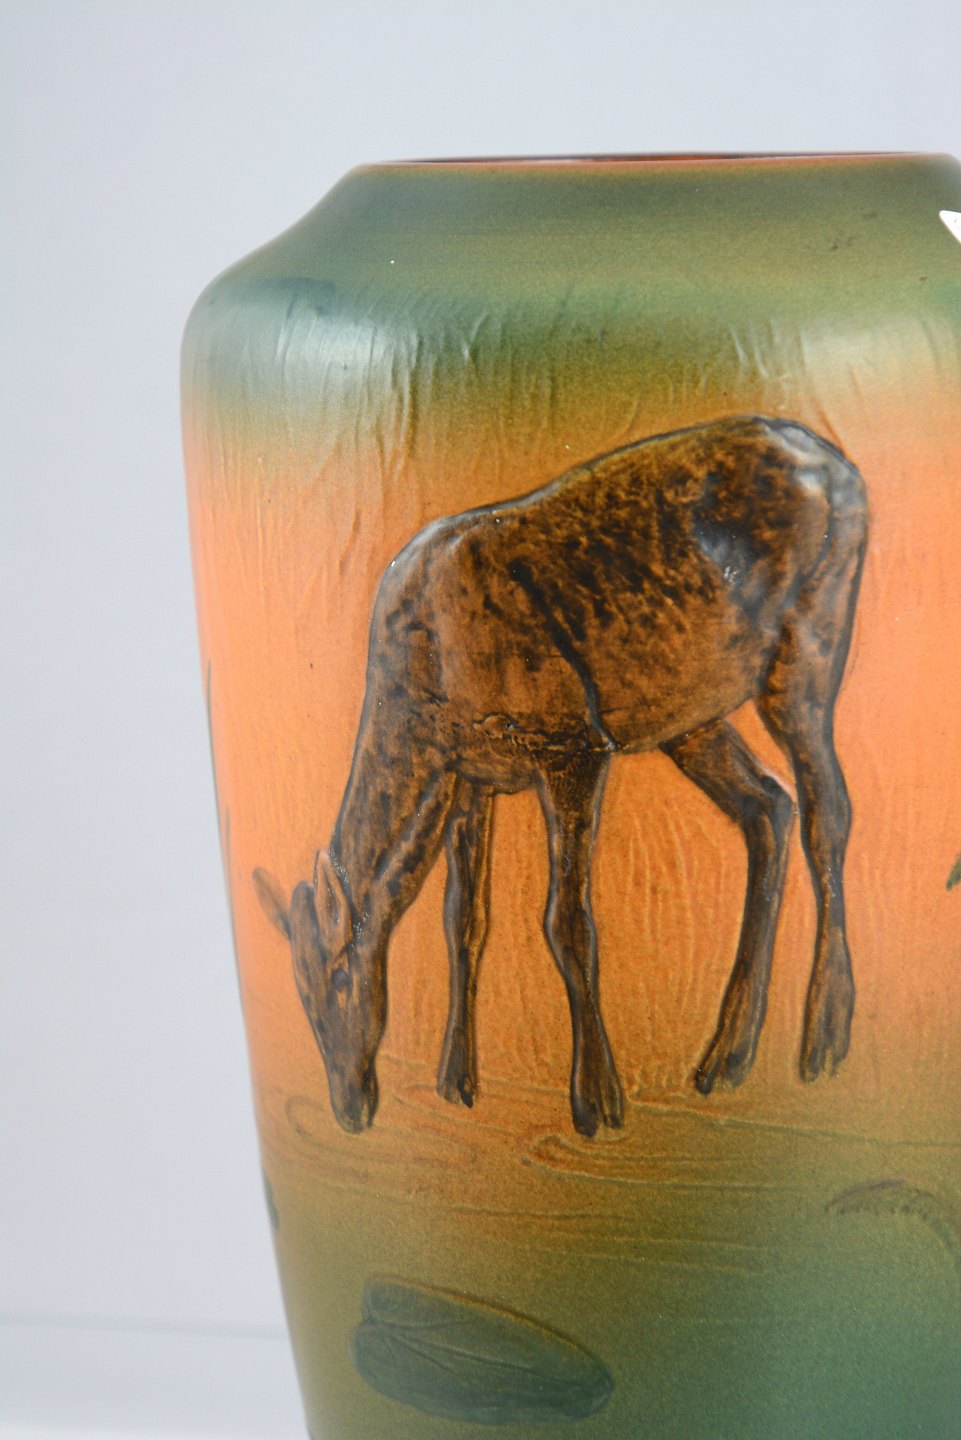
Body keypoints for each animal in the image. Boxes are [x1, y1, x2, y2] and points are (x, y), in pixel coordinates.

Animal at [254, 415, 868, 1138]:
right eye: (299, 995)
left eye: (344, 976)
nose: (349, 1109)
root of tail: (847, 473)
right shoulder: (472, 773)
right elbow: (462, 918)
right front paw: (455, 1082)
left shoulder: (571, 740)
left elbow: (566, 920)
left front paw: (597, 1101)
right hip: (690, 715)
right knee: (769, 805)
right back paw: (726, 1058)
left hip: (810, 637)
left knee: (829, 809)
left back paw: (823, 1040)